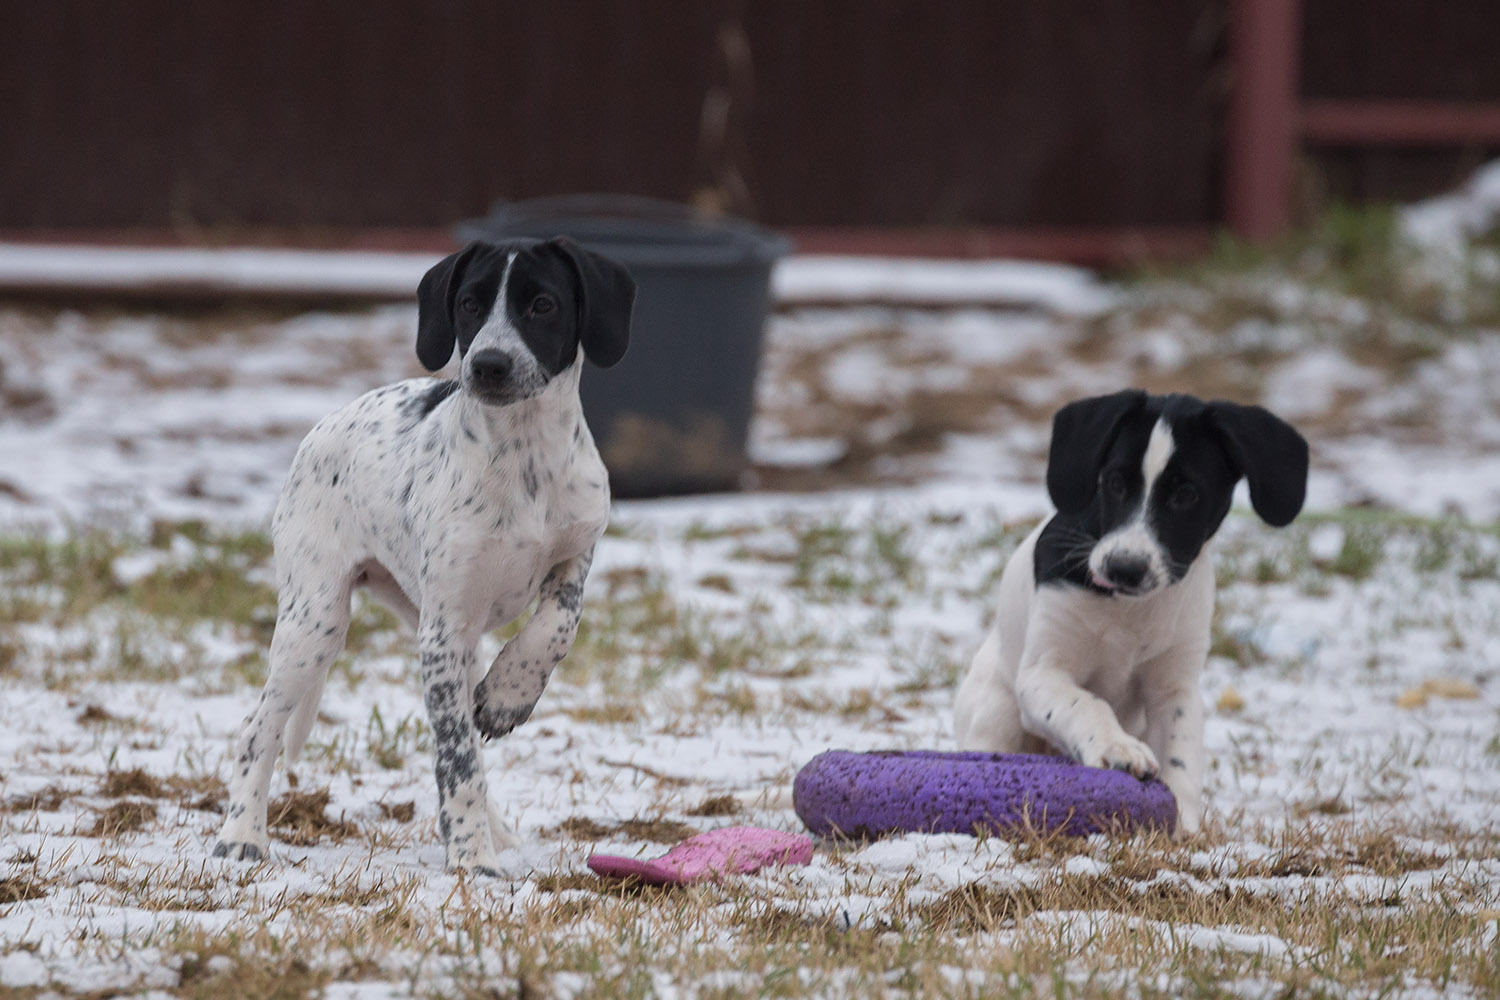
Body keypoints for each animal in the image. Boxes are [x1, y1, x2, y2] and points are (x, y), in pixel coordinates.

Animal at [213, 238, 633, 869]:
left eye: (543, 304)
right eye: (467, 304)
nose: (488, 365)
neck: (524, 455)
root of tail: (326, 422)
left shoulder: (574, 557)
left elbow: (556, 629)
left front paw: (509, 696)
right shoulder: (443, 632)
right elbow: (456, 759)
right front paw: (471, 859)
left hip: (444, 640)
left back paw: (499, 828)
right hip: (315, 625)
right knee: (257, 728)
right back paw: (241, 834)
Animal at [954, 389, 1308, 839]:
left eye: (1186, 494)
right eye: (1114, 483)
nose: (1124, 567)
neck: (1129, 609)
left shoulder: (1175, 688)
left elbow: (1180, 753)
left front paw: (1181, 823)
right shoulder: (1042, 673)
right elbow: (1084, 704)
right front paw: (1115, 747)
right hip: (997, 712)